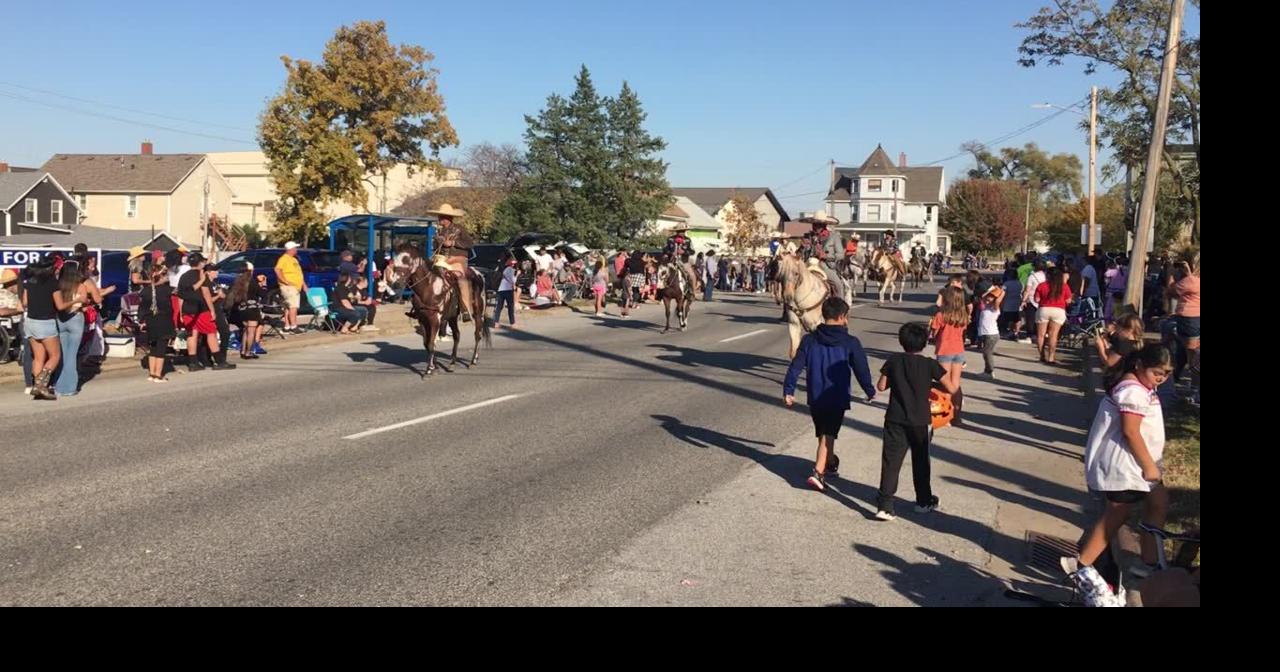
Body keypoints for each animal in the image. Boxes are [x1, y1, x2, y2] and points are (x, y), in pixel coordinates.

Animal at [391, 243, 491, 376]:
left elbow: (431, 343)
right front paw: (435, 367)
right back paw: (452, 364)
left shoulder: (435, 320)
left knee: (477, 335)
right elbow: (427, 344)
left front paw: (428, 370)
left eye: (406, 259)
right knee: (457, 335)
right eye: (394, 259)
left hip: (478, 313)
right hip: (452, 317)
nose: (396, 284)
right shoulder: (422, 320)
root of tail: (479, 274)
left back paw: (473, 361)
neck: (429, 287)